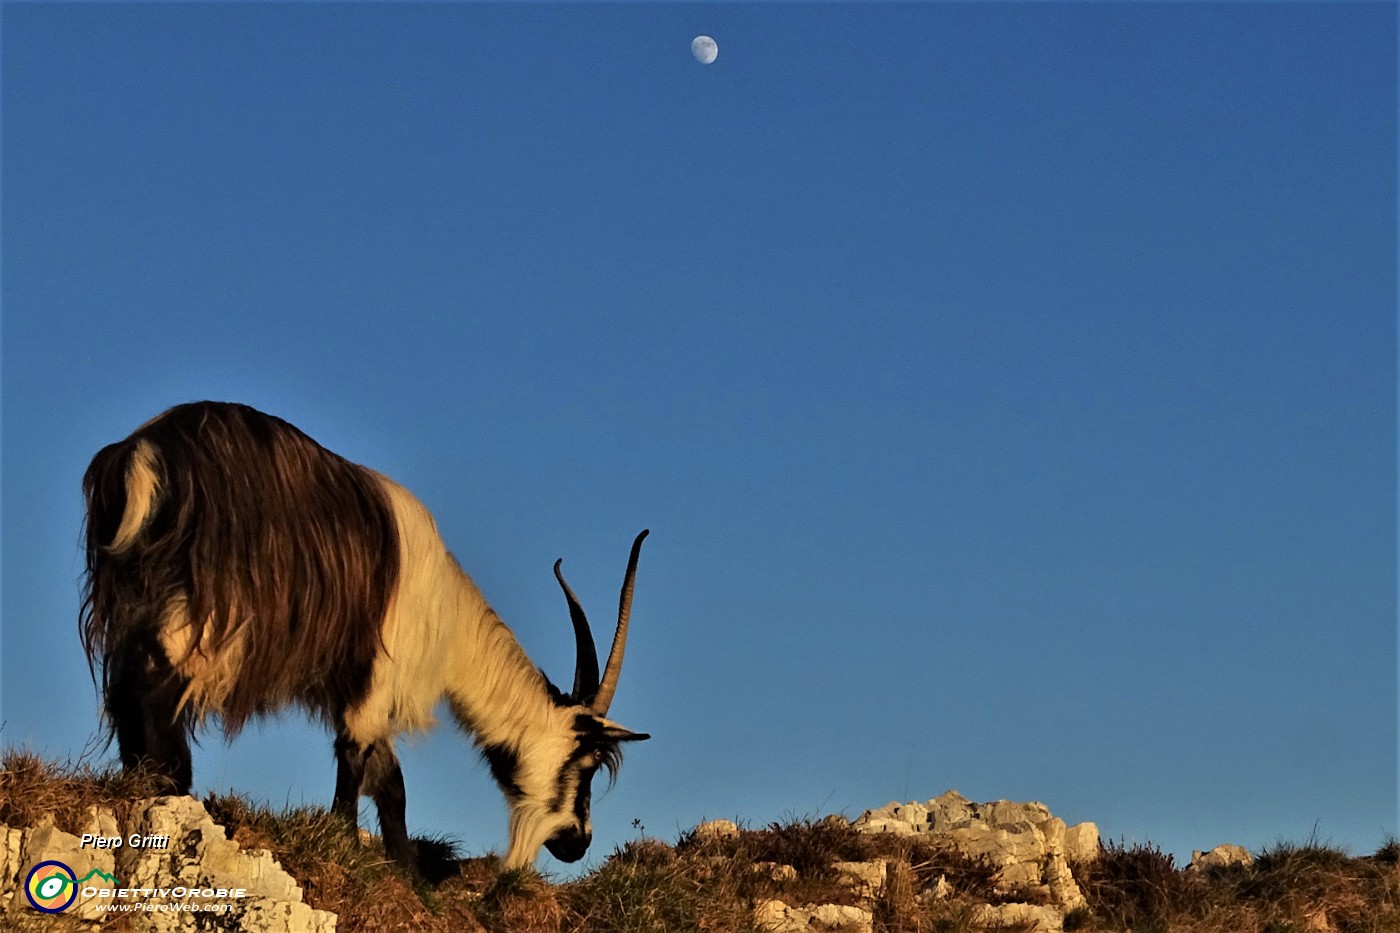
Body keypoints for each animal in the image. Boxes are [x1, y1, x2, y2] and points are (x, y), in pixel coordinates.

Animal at [84, 400, 652, 874]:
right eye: (588, 764)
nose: (578, 842)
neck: (445, 611)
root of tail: (147, 451)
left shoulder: (356, 686)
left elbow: (389, 779)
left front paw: (406, 872)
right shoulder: (380, 675)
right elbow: (358, 760)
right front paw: (343, 842)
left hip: (138, 591)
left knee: (125, 682)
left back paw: (141, 780)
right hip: (206, 607)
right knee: (156, 679)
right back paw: (172, 787)